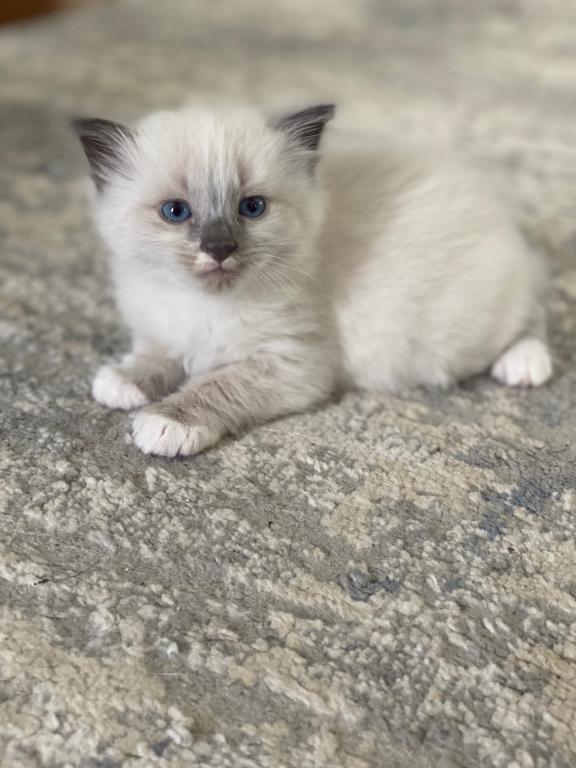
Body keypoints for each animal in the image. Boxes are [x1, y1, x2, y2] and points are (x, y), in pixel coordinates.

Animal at [74, 106, 552, 460]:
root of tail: (492, 204)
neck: (201, 305)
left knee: (530, 312)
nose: (219, 248)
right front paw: (124, 382)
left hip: (462, 329)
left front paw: (166, 422)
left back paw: (524, 364)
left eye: (252, 207)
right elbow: (155, 358)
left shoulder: (292, 361)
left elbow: (215, 385)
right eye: (175, 211)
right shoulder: (161, 329)